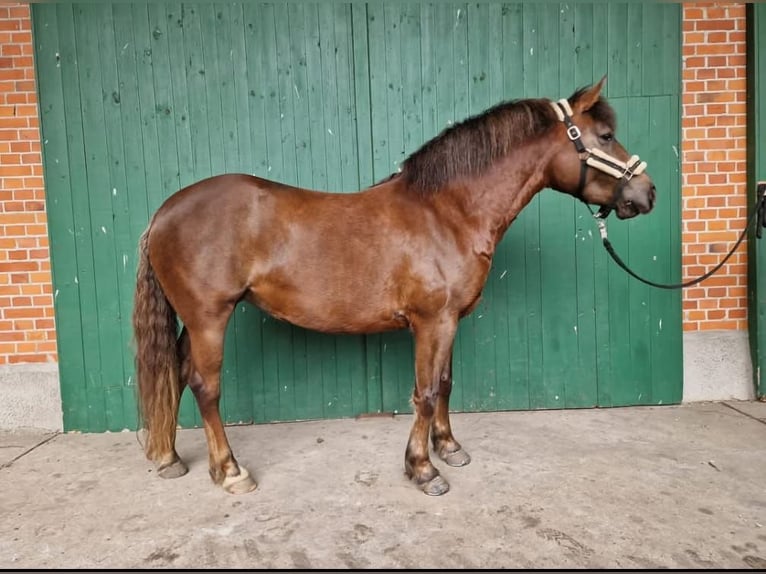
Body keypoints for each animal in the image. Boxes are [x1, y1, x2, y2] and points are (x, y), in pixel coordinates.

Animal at [135, 79, 656, 498]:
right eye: (605, 136)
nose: (647, 192)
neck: (447, 213)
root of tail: (163, 212)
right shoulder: (431, 322)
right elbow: (424, 391)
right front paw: (423, 470)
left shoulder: (449, 322)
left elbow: (444, 383)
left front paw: (449, 448)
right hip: (209, 318)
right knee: (206, 387)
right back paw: (230, 472)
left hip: (193, 322)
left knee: (177, 374)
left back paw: (171, 459)